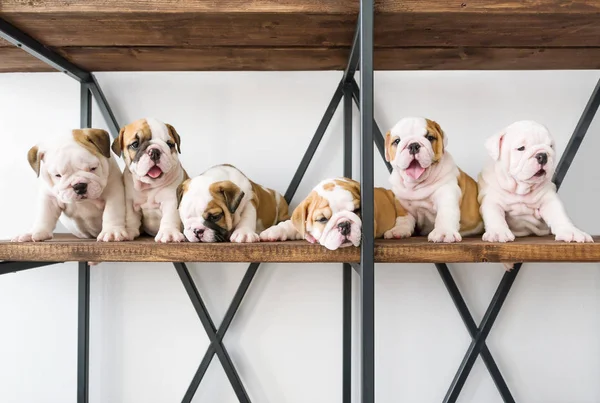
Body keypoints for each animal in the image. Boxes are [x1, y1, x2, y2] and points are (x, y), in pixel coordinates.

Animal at [260, 178, 414, 251]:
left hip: (399, 201)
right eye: (322, 219)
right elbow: (291, 225)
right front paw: (273, 231)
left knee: (407, 218)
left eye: (357, 210)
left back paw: (398, 231)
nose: (344, 224)